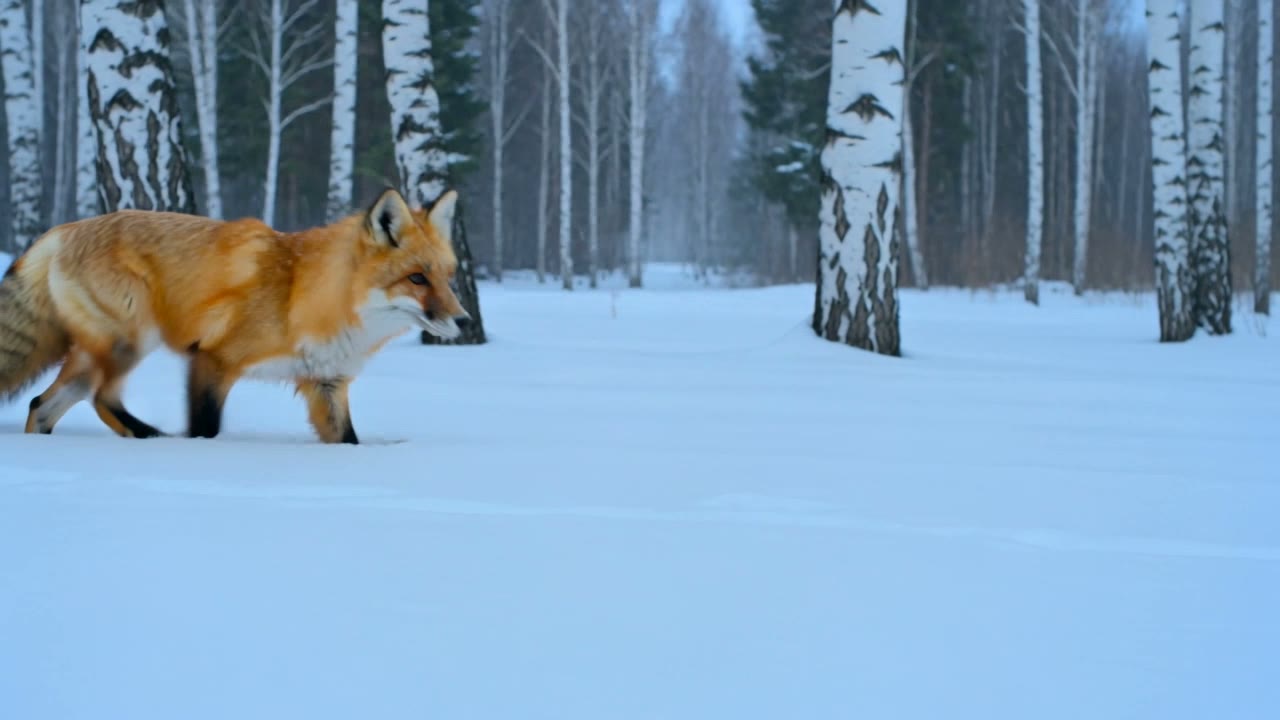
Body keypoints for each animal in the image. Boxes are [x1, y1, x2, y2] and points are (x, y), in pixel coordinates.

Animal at [0, 187, 469, 444]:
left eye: (448, 277)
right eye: (416, 279)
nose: (464, 321)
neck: (304, 295)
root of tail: (64, 229)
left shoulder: (326, 384)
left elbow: (348, 441)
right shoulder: (212, 359)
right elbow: (205, 428)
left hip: (95, 356)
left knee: (42, 405)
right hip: (129, 344)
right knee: (101, 399)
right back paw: (150, 439)